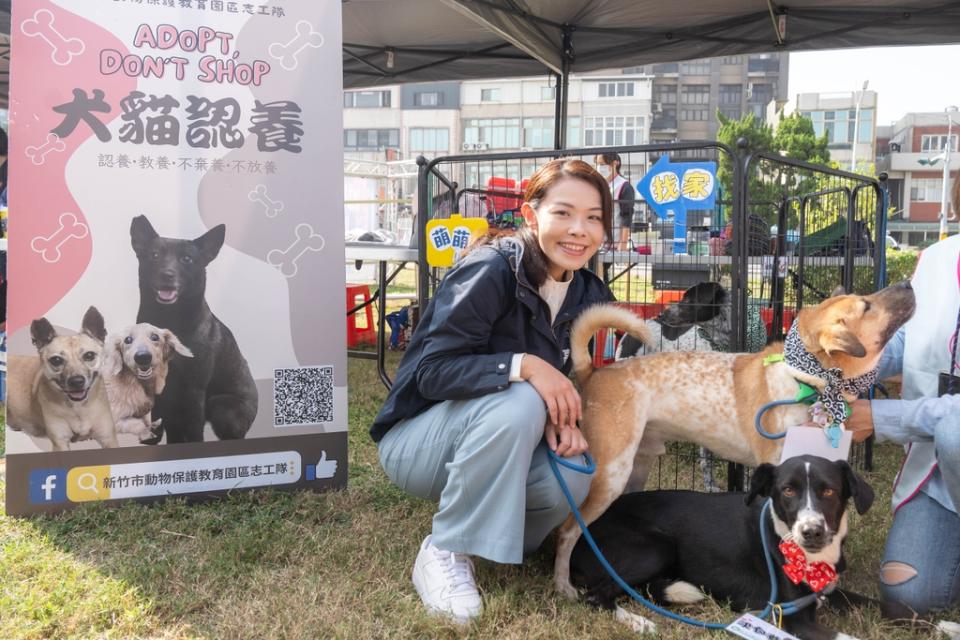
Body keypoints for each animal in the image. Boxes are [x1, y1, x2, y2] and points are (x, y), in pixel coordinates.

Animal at [7, 306, 118, 450]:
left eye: (89, 355)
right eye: (56, 360)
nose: (77, 381)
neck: (78, 407)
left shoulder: (108, 438)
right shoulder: (60, 443)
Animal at [556, 282, 924, 596]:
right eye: (866, 305)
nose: (907, 283)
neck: (809, 379)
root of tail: (595, 372)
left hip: (636, 470)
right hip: (610, 475)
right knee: (567, 531)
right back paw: (564, 587)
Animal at [568, 456, 916, 640]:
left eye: (829, 491)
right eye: (787, 490)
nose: (812, 532)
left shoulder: (826, 591)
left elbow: (897, 609)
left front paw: (930, 622)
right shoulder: (793, 619)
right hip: (657, 547)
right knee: (595, 596)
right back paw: (638, 622)